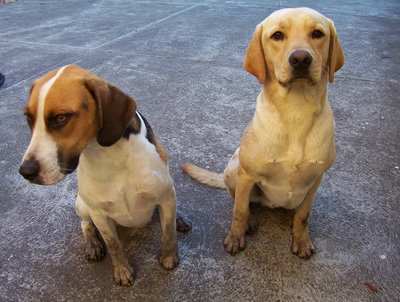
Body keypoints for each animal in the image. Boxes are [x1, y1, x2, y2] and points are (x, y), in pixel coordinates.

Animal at [19, 64, 191, 286]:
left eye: (61, 118)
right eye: (28, 118)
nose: (25, 171)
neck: (108, 154)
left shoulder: (164, 195)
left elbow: (168, 231)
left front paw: (169, 257)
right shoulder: (99, 213)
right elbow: (113, 245)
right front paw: (122, 270)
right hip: (81, 205)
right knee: (85, 224)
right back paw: (92, 244)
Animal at [183, 7, 346, 258]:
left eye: (317, 33)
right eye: (277, 35)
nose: (301, 58)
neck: (296, 111)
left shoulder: (316, 179)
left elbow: (304, 215)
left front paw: (301, 239)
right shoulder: (247, 175)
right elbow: (240, 210)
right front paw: (236, 236)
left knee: (296, 210)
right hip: (234, 167)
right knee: (242, 202)